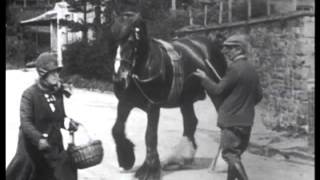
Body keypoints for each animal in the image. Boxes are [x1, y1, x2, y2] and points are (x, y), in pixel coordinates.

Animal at [110, 11, 228, 179]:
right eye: (113, 41)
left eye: (131, 40)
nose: (119, 79)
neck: (144, 66)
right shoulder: (125, 103)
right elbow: (117, 130)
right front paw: (126, 159)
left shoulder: (153, 106)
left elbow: (150, 135)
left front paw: (149, 169)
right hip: (185, 99)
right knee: (190, 122)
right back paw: (182, 157)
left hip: (217, 93)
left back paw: (220, 164)